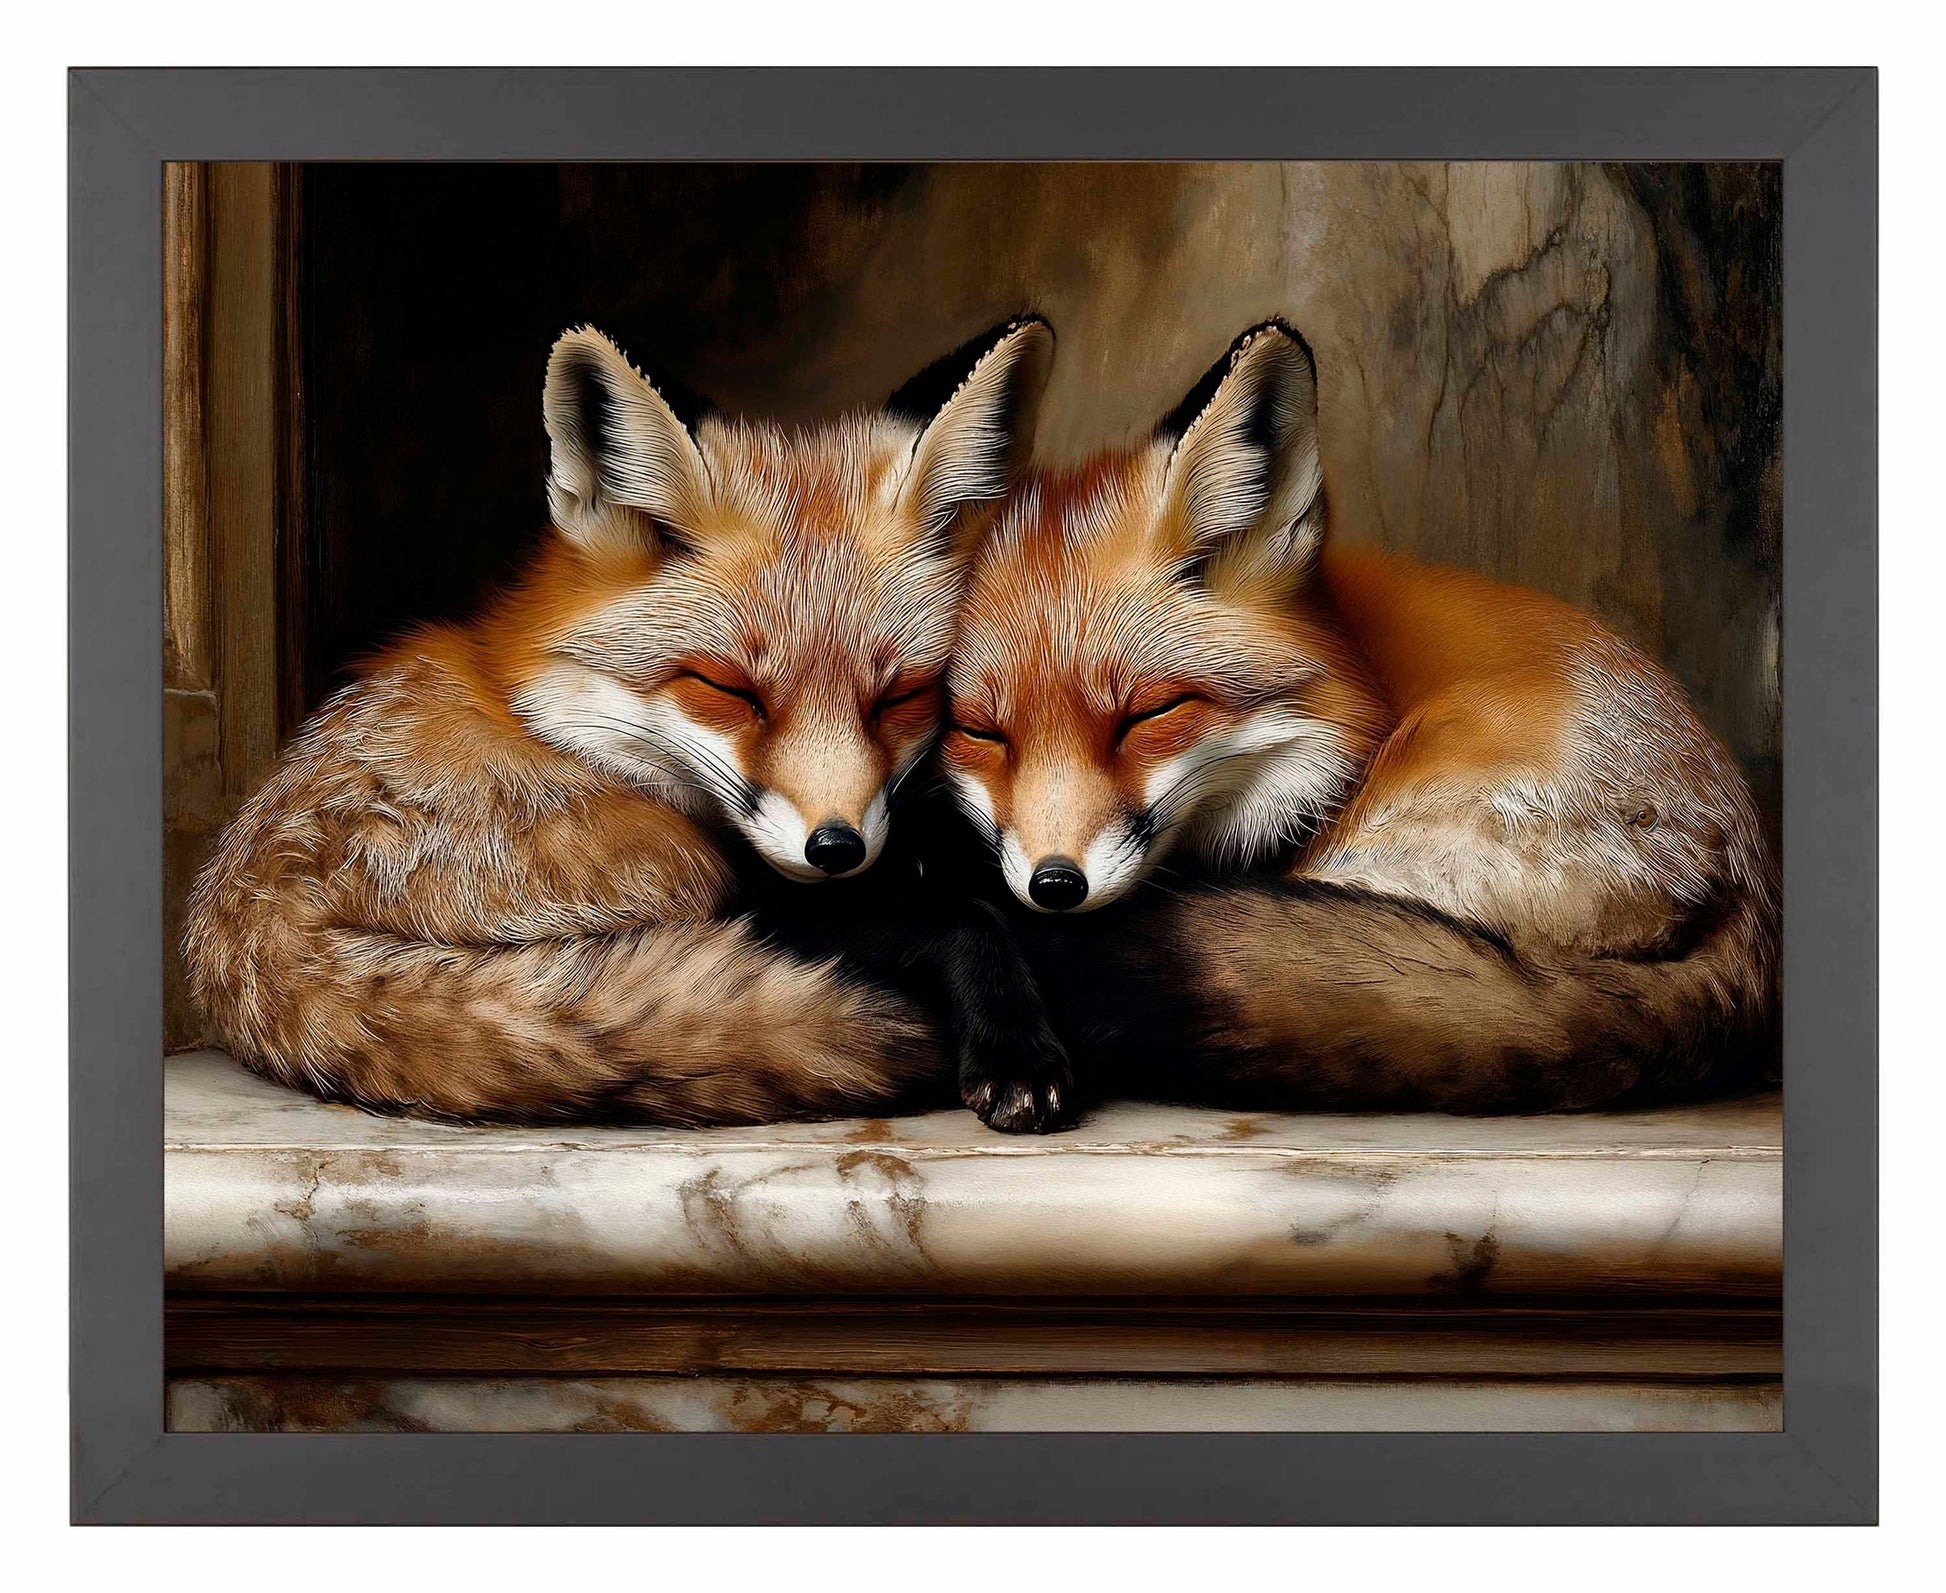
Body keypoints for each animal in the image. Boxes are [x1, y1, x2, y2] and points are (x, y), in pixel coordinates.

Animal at [183, 315, 1069, 1127]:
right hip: (676, 865)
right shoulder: (768, 897)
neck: (545, 705)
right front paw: (1014, 1047)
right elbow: (965, 915)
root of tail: (254, 927)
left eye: (899, 696)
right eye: (728, 688)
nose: (836, 848)